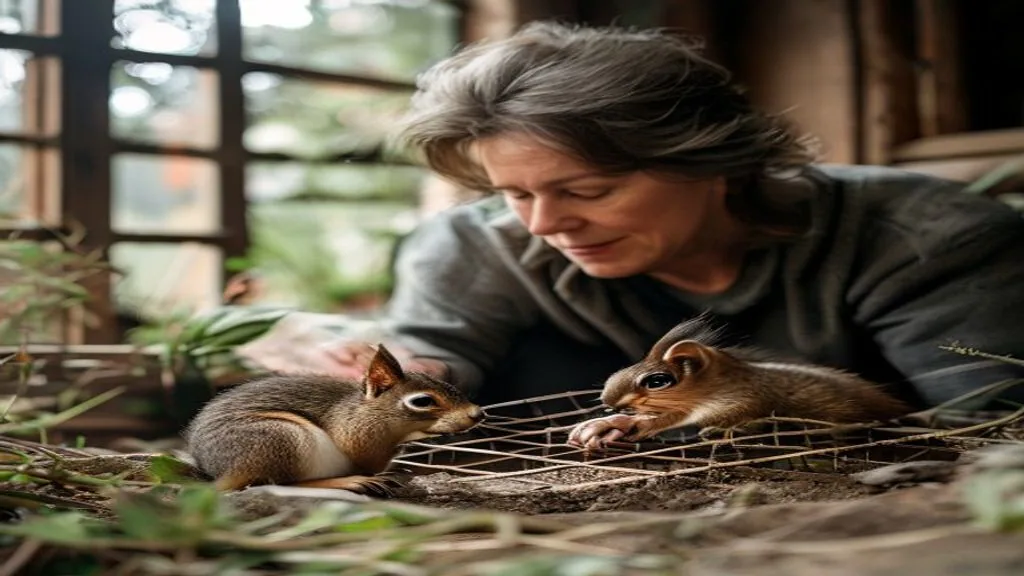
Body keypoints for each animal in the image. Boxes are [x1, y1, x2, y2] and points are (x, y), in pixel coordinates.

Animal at [183, 344, 484, 495]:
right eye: (422, 401)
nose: (478, 414)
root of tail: (221, 472)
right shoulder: (354, 431)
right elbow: (362, 453)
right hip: (285, 438)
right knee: (279, 484)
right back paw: (347, 481)